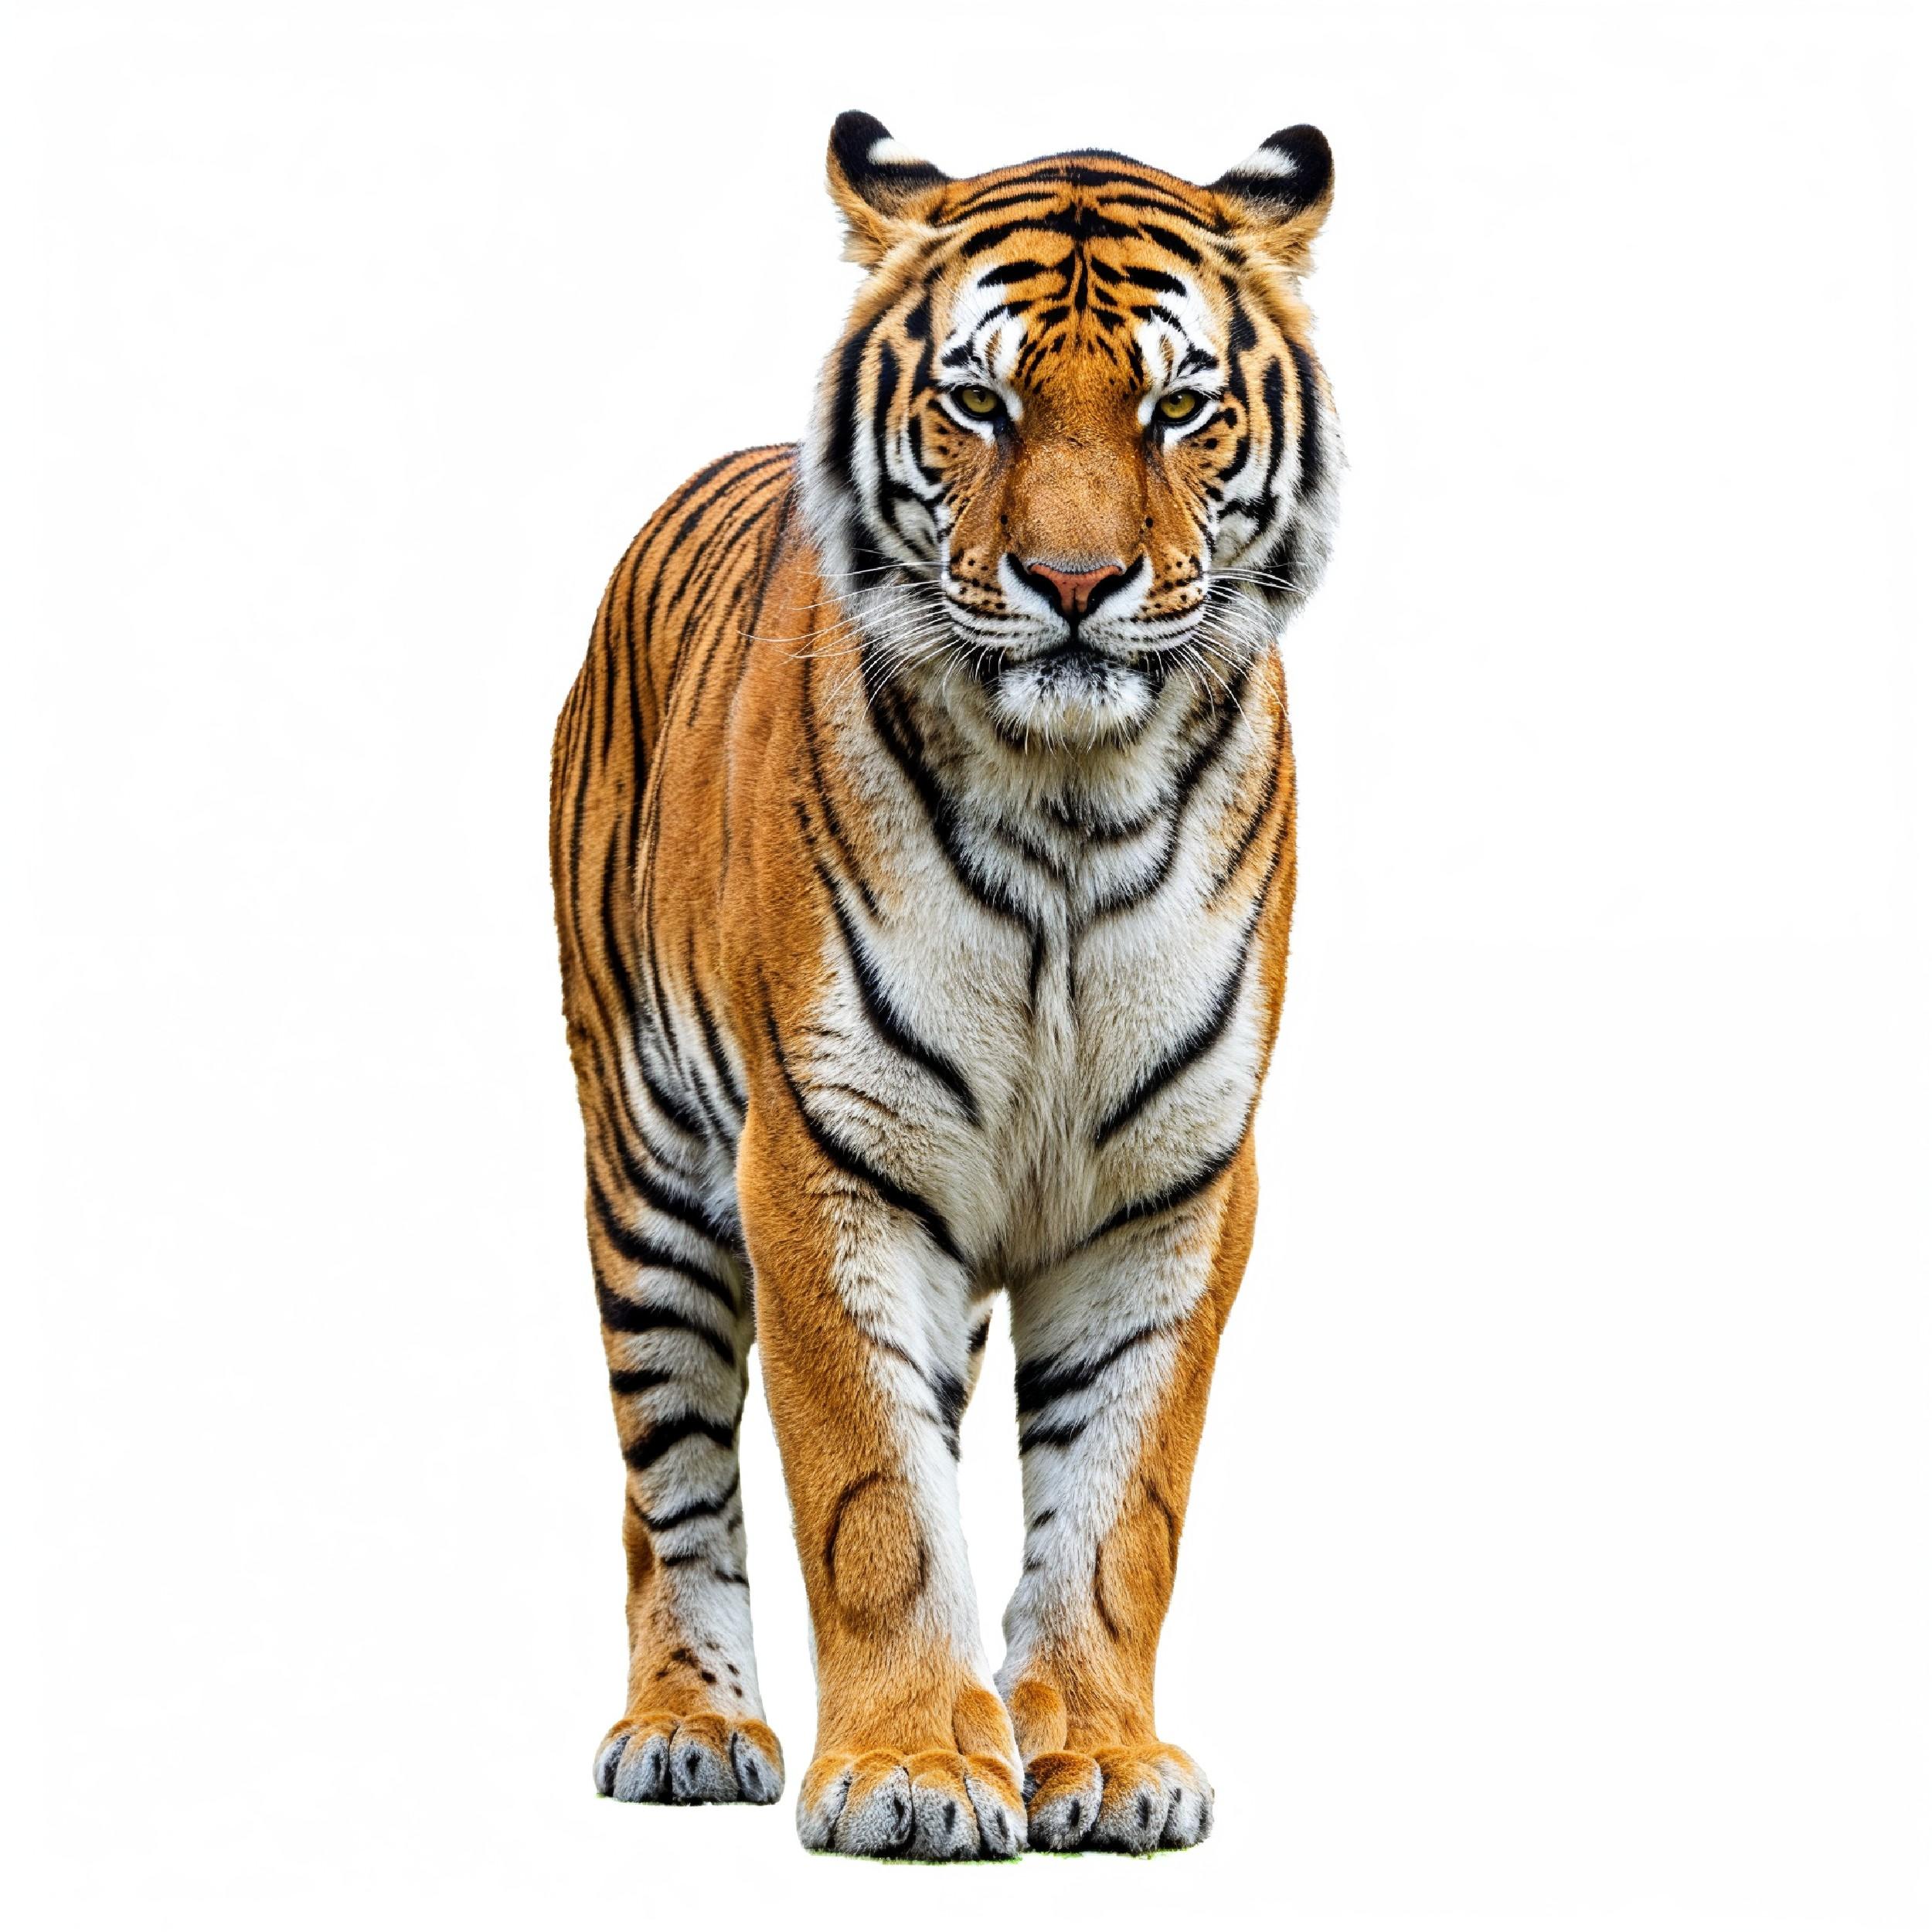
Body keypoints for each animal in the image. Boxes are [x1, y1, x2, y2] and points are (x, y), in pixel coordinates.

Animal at [548, 110, 1339, 1860]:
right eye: (979, 402)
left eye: (1176, 407)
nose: (1073, 581)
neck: (1071, 798)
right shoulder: (823, 1153)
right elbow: (873, 1495)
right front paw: (911, 1766)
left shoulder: (1172, 1182)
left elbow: (1120, 1502)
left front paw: (1097, 1755)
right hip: (644, 1171)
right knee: (668, 1482)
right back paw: (688, 1726)